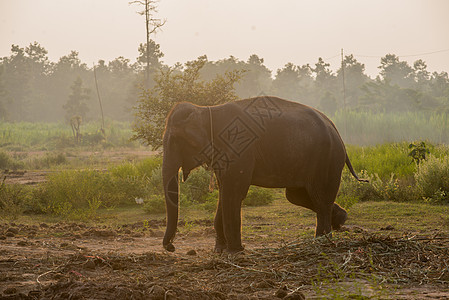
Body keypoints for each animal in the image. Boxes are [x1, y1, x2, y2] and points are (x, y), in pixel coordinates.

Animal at [163, 96, 366, 253]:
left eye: (175, 140)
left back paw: (321, 240)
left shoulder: (239, 148)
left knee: (320, 198)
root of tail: (335, 129)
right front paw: (219, 250)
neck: (206, 110)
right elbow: (224, 192)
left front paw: (235, 251)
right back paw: (340, 219)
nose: (171, 247)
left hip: (327, 159)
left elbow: (233, 193)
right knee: (298, 195)